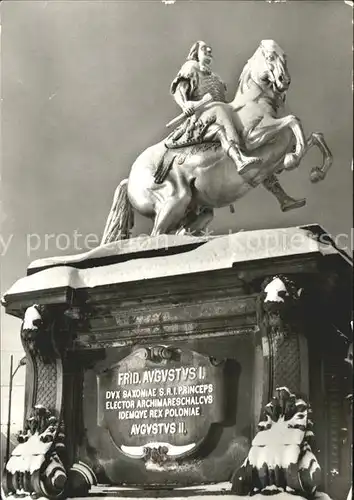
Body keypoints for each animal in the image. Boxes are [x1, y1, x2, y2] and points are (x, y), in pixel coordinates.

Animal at [101, 39, 332, 242]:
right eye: (269, 57)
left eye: (284, 56)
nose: (284, 80)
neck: (257, 101)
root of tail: (129, 179)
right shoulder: (253, 137)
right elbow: (293, 121)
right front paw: (292, 160)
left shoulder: (280, 149)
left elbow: (314, 137)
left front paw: (316, 173)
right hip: (174, 200)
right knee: (156, 235)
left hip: (197, 211)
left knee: (181, 230)